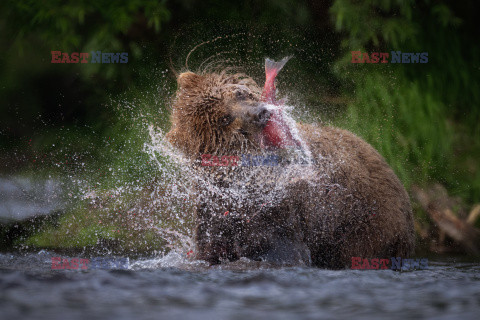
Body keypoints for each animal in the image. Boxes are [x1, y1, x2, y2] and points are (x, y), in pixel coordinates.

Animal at [165, 69, 412, 268]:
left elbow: (284, 249)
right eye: (225, 118)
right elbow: (211, 249)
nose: (260, 113)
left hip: (362, 221)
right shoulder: (216, 209)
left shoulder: (279, 204)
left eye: (239, 94)